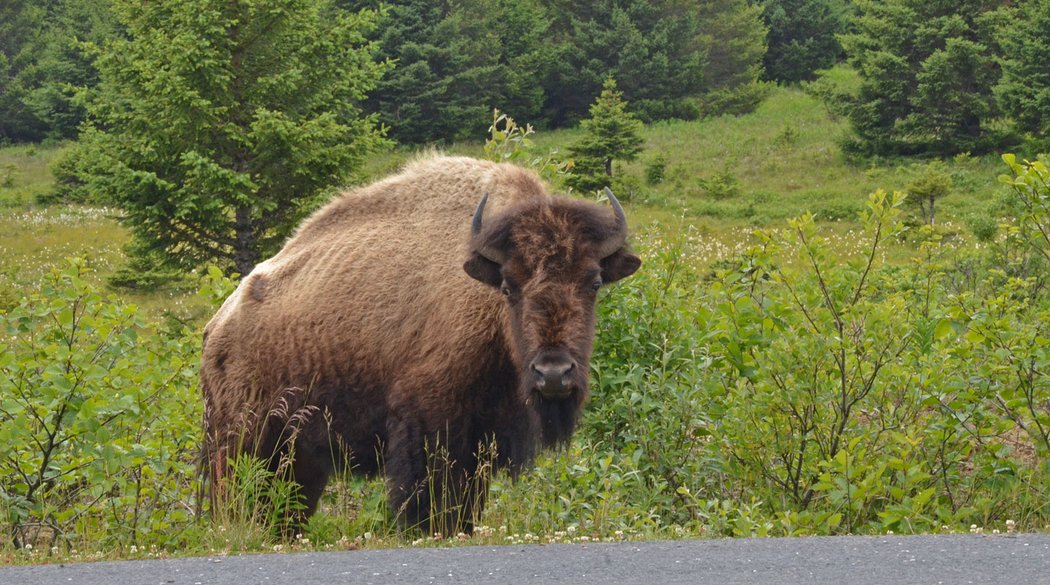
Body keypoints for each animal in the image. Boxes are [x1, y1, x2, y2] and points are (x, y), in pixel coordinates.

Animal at [197, 154, 638, 529]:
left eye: (594, 283)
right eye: (508, 287)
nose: (554, 374)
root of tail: (216, 326)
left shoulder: (481, 437)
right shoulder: (427, 424)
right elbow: (427, 500)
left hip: (301, 457)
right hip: (241, 442)